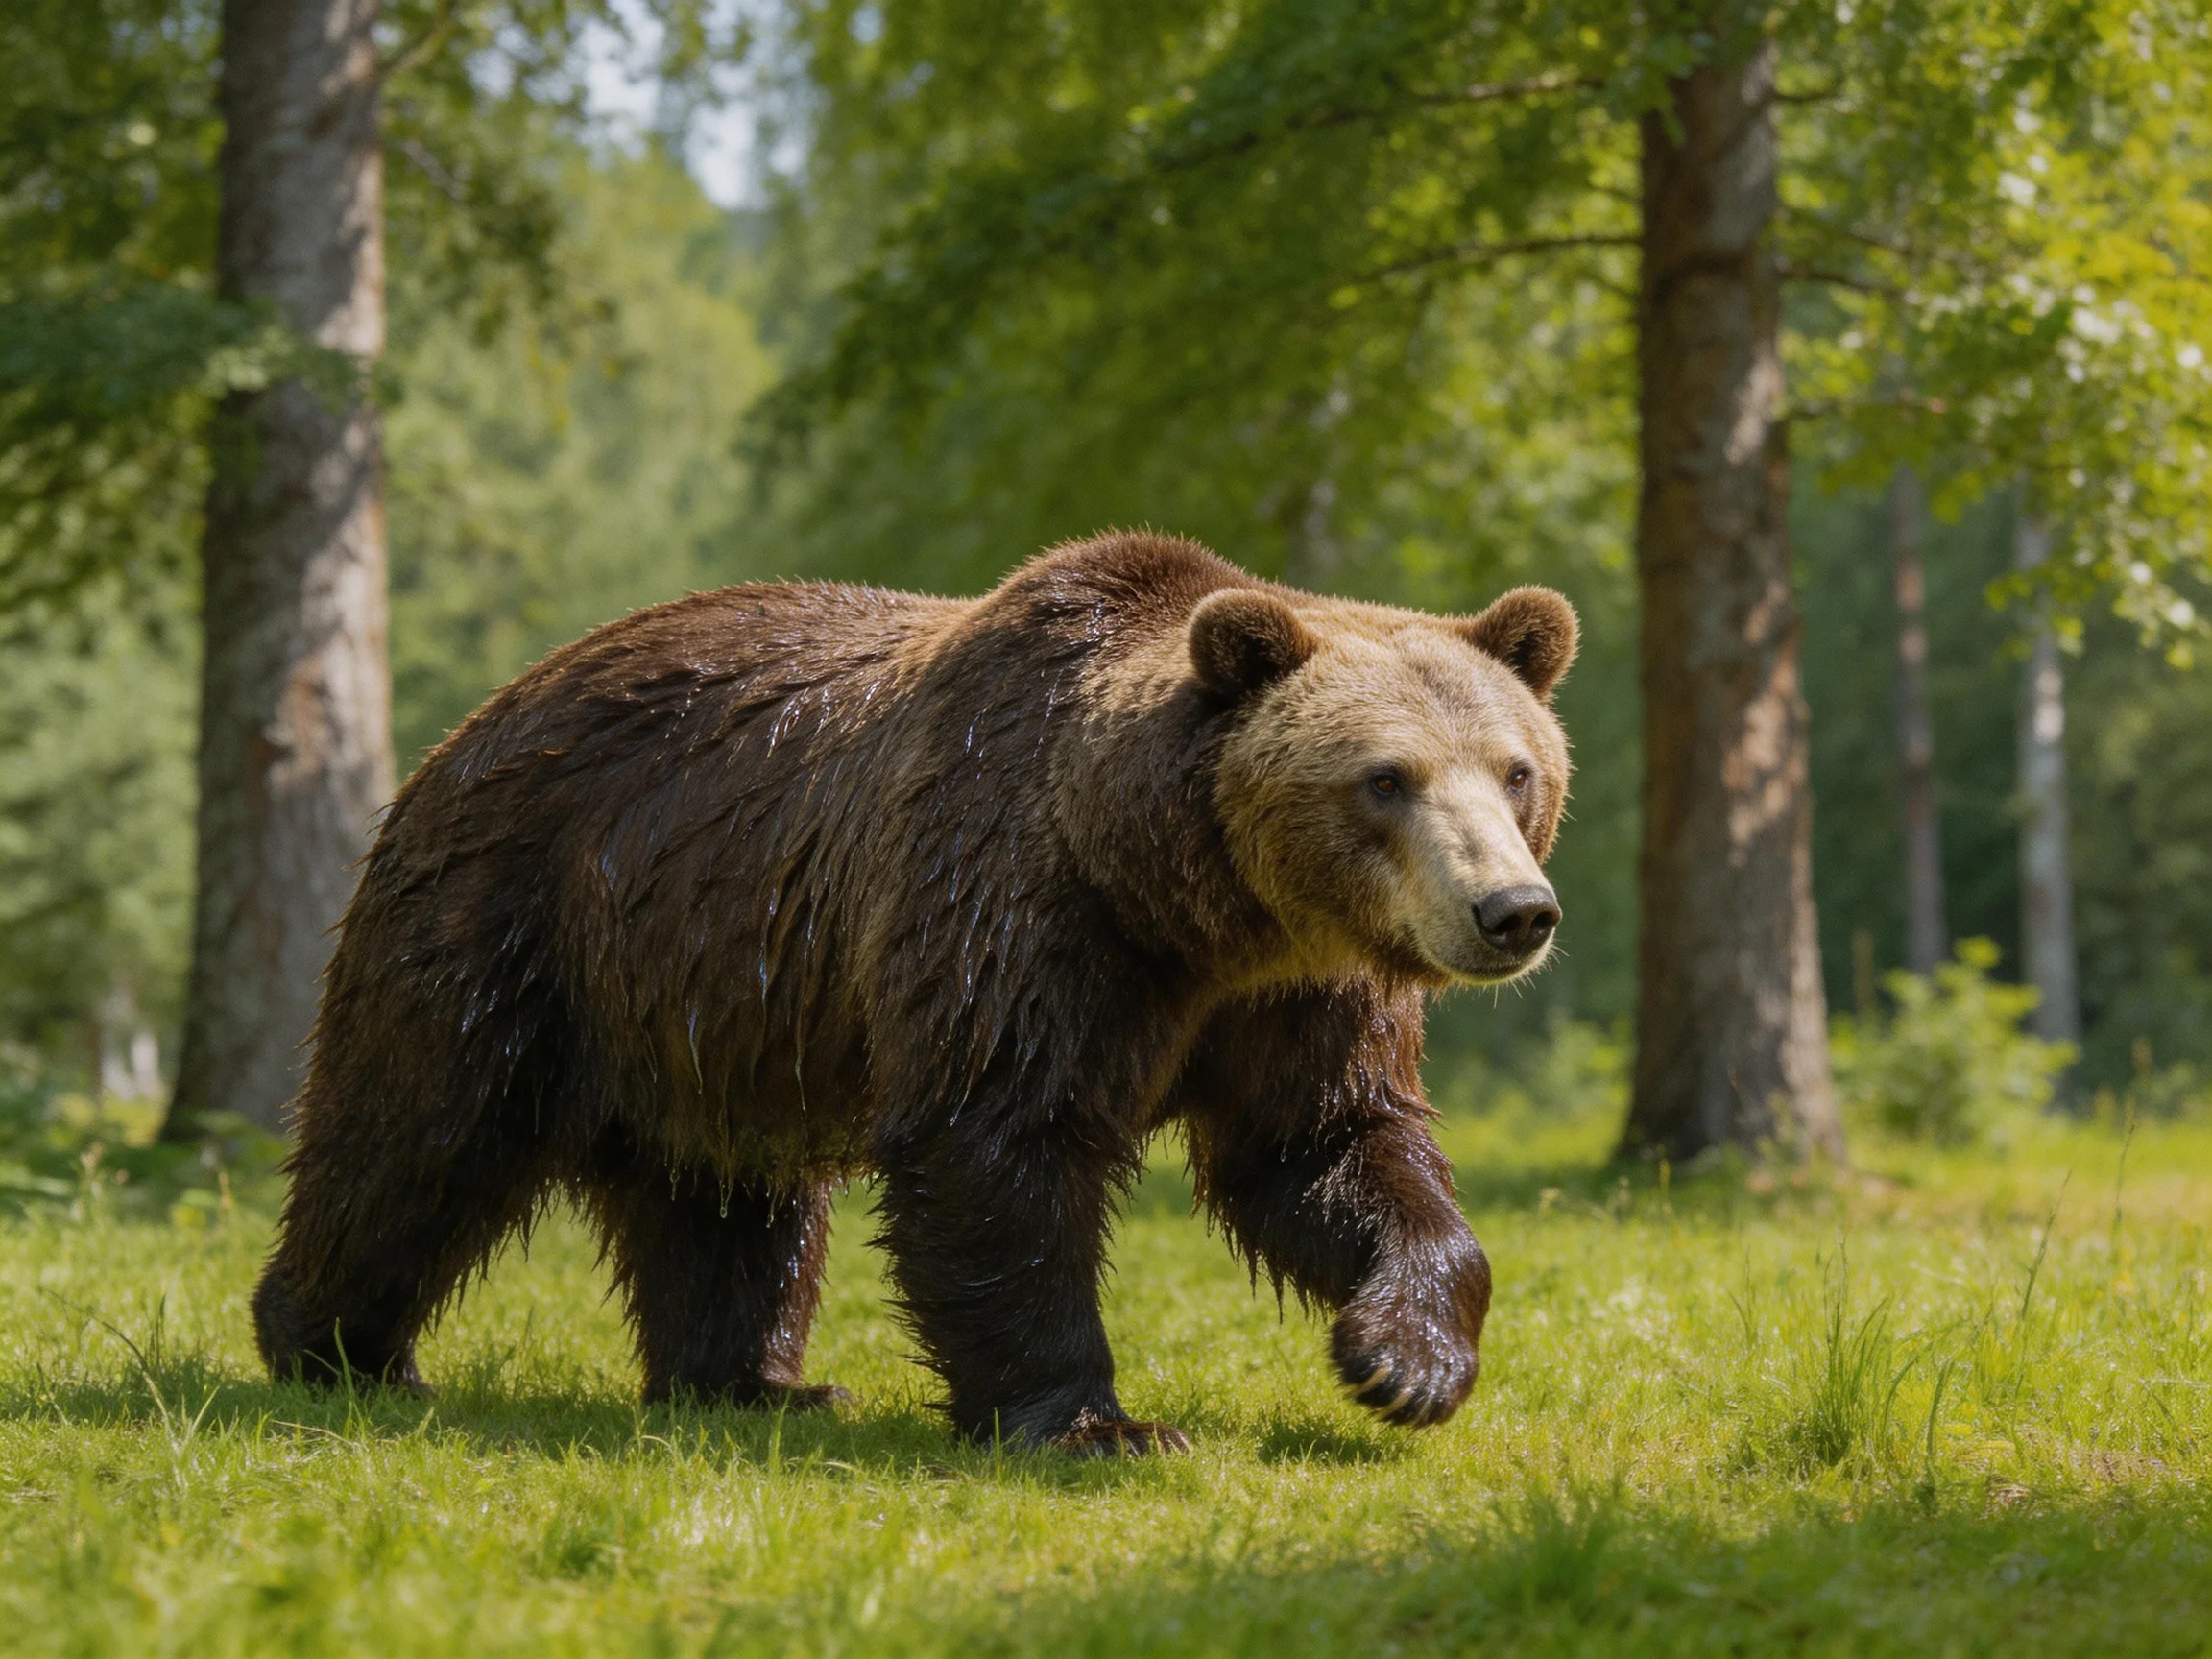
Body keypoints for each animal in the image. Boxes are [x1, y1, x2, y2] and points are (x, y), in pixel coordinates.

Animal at [252, 531, 1577, 1455]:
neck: (1181, 901)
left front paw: (1404, 1359)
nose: (1512, 911)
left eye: (1515, 769)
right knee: (416, 1136)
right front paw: (1096, 1423)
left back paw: (754, 1385)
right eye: (1385, 778)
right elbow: (996, 1144)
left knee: (726, 1194)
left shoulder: (1294, 993)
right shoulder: (1008, 904)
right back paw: (336, 1350)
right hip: (516, 914)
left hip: (711, 988)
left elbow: (1325, 1146)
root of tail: (472, 722)